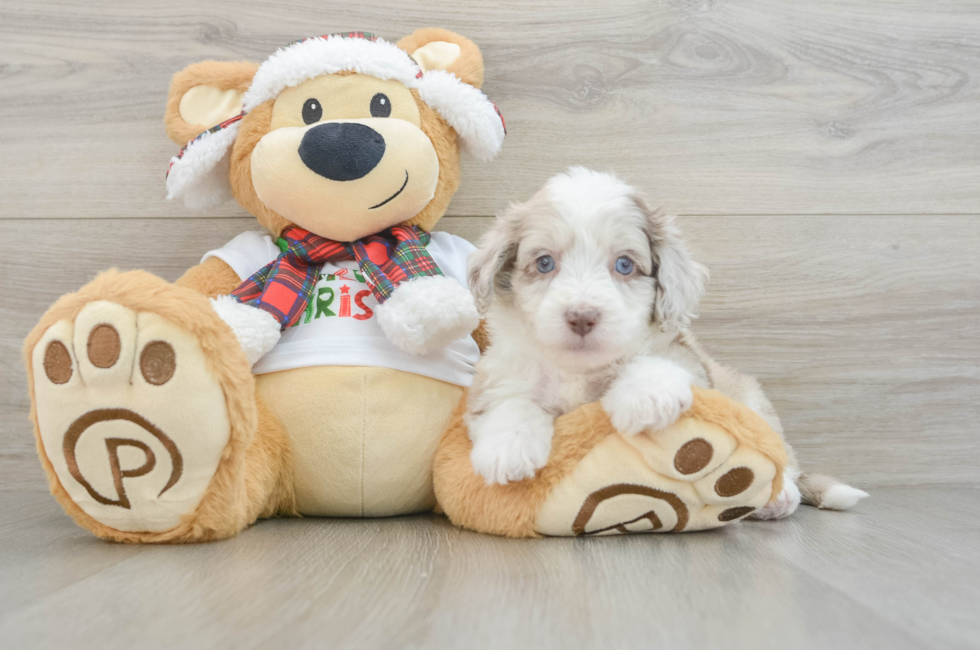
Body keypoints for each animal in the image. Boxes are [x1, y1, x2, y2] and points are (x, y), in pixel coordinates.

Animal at [468, 166, 864, 516]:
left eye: (625, 265)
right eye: (545, 263)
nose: (582, 316)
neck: (580, 370)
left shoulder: (689, 360)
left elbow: (657, 359)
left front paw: (645, 396)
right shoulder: (498, 374)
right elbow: (511, 400)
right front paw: (507, 445)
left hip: (752, 399)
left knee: (784, 460)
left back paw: (780, 497)